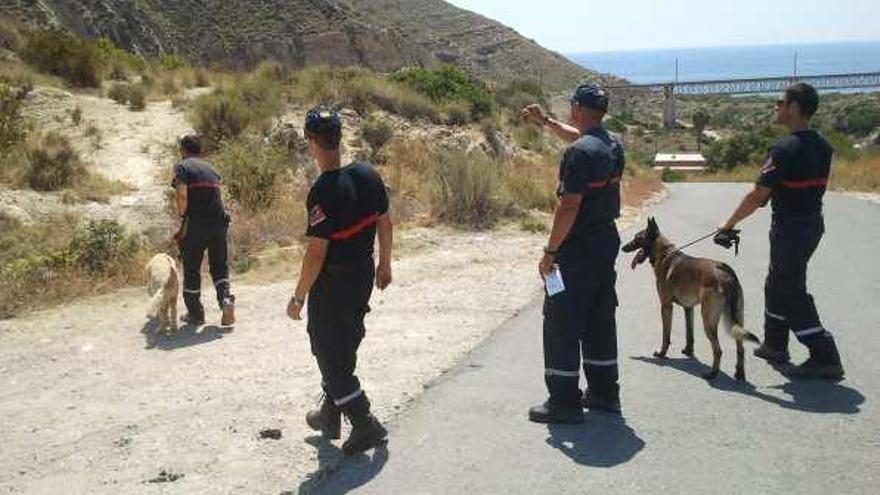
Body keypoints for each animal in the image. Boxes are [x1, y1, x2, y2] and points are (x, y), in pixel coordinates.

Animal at [624, 219, 760, 382]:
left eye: (637, 238)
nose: (623, 247)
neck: (664, 254)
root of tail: (726, 272)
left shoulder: (666, 306)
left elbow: (666, 334)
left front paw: (662, 353)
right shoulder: (688, 308)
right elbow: (689, 333)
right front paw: (688, 351)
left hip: (708, 319)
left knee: (718, 350)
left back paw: (712, 374)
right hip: (737, 317)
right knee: (740, 345)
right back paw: (739, 373)